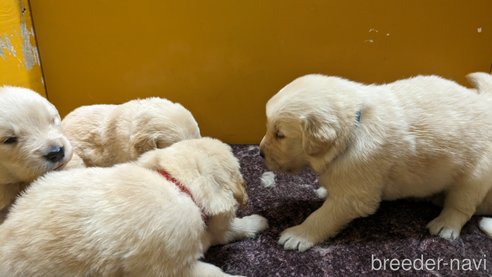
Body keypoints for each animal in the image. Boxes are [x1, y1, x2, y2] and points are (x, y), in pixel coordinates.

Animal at [0, 137, 270, 274]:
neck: (178, 183)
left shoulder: (209, 230)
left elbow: (231, 229)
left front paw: (258, 221)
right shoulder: (173, 268)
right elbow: (215, 272)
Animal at [260, 71, 492, 250]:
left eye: (280, 135)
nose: (260, 153)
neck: (356, 124)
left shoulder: (355, 195)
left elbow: (323, 215)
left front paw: (298, 234)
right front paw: (326, 191)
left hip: (475, 175)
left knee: (461, 206)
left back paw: (445, 224)